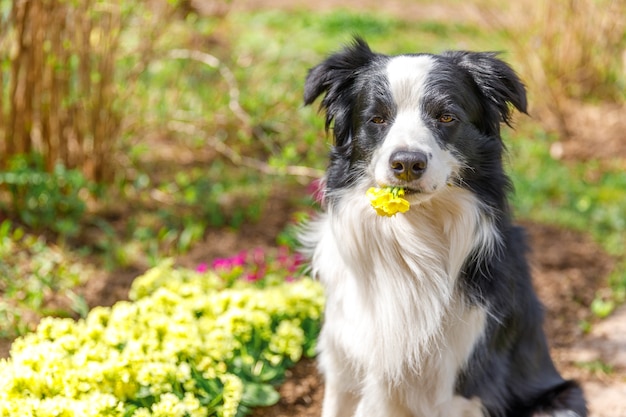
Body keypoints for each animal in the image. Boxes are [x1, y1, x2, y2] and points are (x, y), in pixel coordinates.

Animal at [300, 38, 584, 416]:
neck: (412, 238)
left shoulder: (458, 385)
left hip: (560, 401)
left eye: (446, 116)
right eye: (377, 118)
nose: (407, 163)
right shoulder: (343, 366)